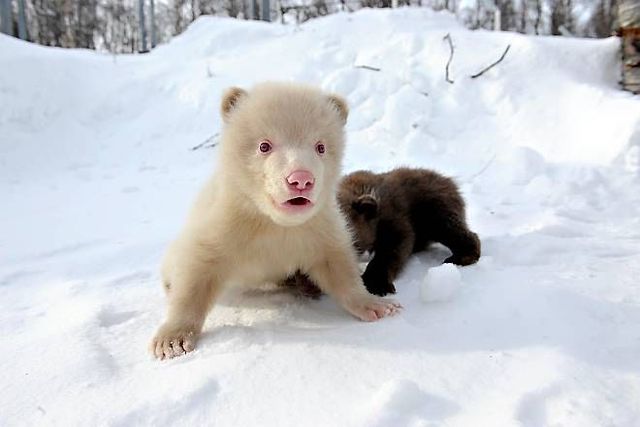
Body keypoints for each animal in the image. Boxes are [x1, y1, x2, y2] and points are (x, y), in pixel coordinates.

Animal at [150, 82, 401, 360]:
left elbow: (337, 263)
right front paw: (172, 340)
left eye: (320, 146)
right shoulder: (226, 220)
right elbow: (198, 269)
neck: (274, 222)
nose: (300, 179)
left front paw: (377, 306)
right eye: (264, 145)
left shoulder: (318, 226)